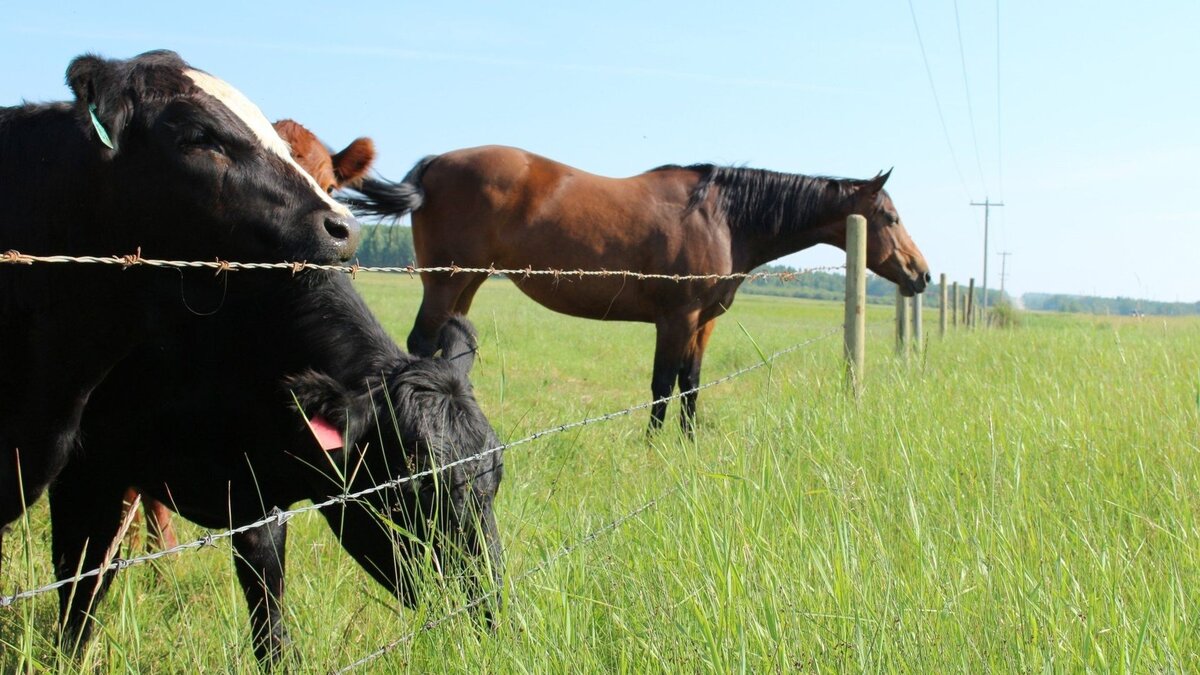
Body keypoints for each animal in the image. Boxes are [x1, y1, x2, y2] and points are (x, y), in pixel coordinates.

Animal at [50, 270, 501, 662]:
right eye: (411, 487)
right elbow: (80, 581)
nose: (489, 607)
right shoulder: (84, 467)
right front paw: (67, 658)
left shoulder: (256, 499)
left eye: (497, 468)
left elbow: (270, 613)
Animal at [348, 146, 926, 429]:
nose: (920, 274)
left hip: (466, 282)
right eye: (890, 217)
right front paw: (653, 449)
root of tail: (433, 165)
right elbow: (662, 386)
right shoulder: (676, 319)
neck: (724, 217)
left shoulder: (702, 324)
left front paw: (688, 446)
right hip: (445, 280)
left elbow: (691, 385)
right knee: (421, 346)